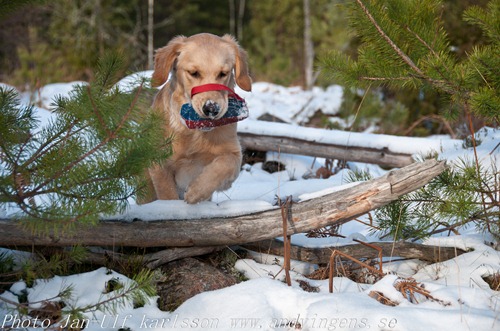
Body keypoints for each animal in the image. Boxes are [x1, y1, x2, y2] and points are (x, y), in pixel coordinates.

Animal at [146, 33, 252, 205]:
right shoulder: (158, 164)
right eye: (193, 73)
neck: (194, 133)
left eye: (223, 73)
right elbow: (167, 194)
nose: (211, 109)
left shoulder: (234, 154)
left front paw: (196, 192)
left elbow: (223, 165)